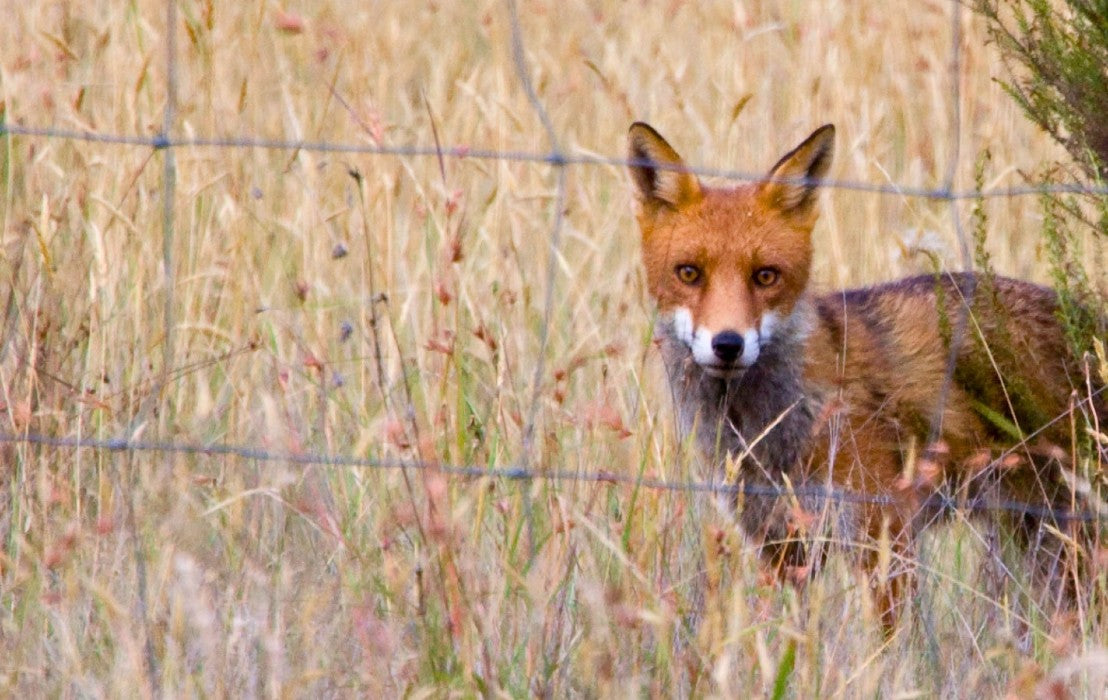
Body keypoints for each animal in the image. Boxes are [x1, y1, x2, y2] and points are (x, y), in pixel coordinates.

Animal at [627, 120, 1105, 626]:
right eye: (689, 273)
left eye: (765, 276)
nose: (727, 344)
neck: (768, 431)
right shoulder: (781, 545)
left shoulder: (883, 535)